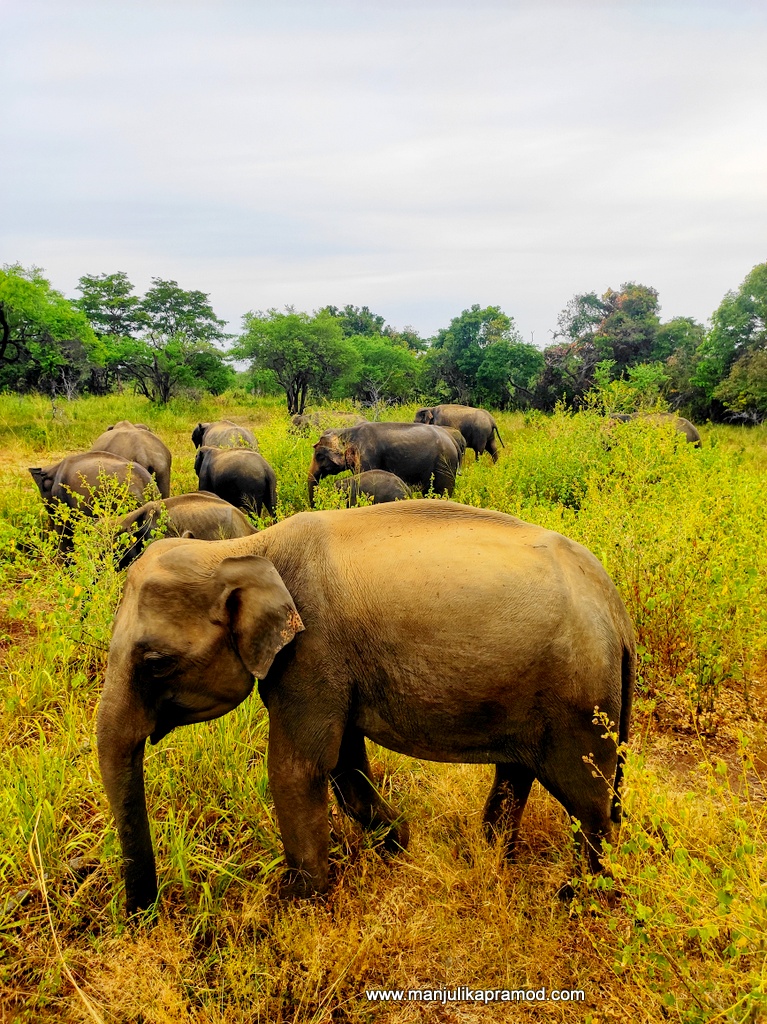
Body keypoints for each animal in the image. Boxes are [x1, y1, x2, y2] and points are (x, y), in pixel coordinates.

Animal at [97, 499, 634, 917]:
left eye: (156, 663)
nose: (143, 916)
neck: (246, 550)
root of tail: (616, 607)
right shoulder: (332, 665)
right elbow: (342, 761)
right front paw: (398, 842)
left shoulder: (313, 652)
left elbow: (298, 767)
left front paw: (294, 906)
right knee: (518, 774)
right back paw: (490, 855)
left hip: (579, 702)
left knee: (588, 804)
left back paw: (578, 899)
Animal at [307, 421, 460, 505]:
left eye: (319, 456)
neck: (347, 430)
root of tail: (453, 441)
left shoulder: (367, 456)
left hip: (444, 465)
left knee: (443, 492)